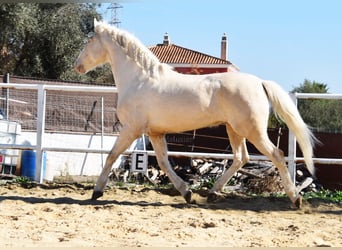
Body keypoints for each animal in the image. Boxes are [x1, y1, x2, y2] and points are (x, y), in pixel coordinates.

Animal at [75, 19, 316, 207]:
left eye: (89, 41)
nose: (78, 65)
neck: (140, 80)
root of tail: (259, 82)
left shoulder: (132, 129)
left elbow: (111, 155)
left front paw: (96, 192)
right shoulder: (155, 133)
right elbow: (163, 162)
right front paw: (187, 193)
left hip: (252, 130)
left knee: (276, 155)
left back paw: (295, 199)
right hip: (234, 129)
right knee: (241, 157)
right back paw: (212, 193)